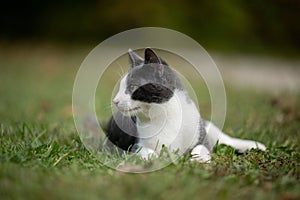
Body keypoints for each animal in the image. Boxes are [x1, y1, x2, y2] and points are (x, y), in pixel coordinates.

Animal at [105, 47, 264, 162]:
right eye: (120, 87)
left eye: (132, 87)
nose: (115, 100)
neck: (164, 115)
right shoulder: (133, 145)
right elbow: (143, 151)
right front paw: (154, 157)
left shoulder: (200, 136)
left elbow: (201, 147)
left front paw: (198, 159)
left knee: (223, 137)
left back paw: (253, 145)